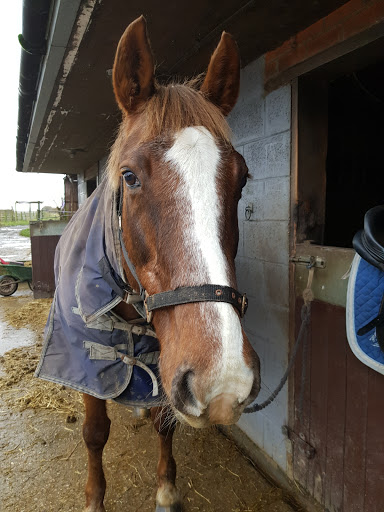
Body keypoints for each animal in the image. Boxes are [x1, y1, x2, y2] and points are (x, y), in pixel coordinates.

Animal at [82, 16, 260, 512]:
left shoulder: (168, 359)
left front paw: (165, 490)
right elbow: (95, 432)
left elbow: (165, 420)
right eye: (129, 177)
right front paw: (94, 498)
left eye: (242, 178)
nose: (223, 382)